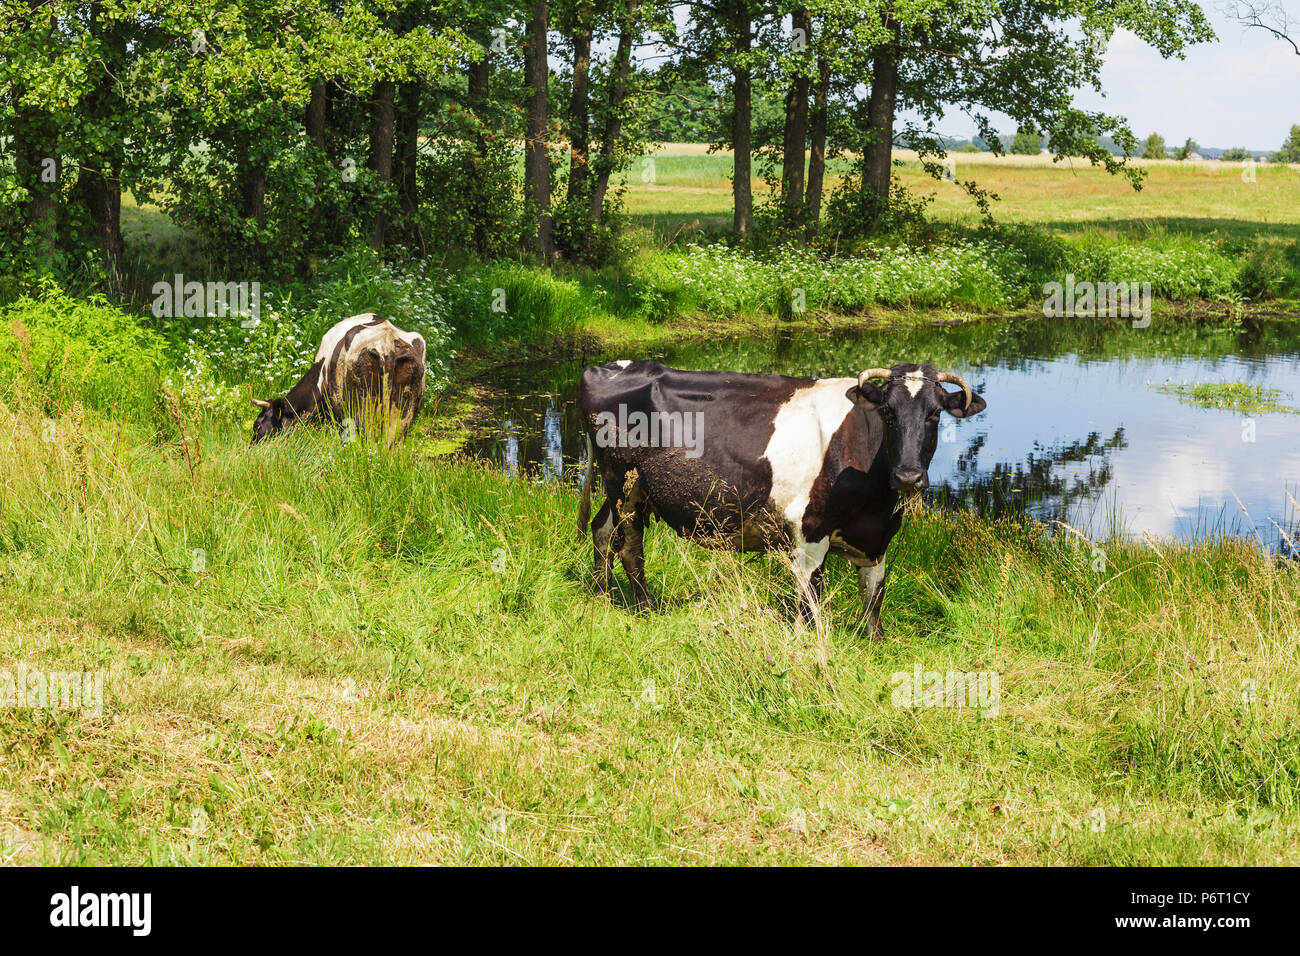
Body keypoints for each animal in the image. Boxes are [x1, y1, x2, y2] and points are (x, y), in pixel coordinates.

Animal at [579, 361, 982, 639]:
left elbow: (874, 599)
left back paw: (600, 599)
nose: (908, 476)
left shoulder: (878, 540)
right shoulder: (809, 532)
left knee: (602, 531)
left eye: (935, 413)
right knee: (629, 546)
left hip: (627, 490)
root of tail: (607, 367)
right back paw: (646, 609)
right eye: (887, 412)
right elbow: (809, 605)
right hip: (625, 485)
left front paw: (876, 644)